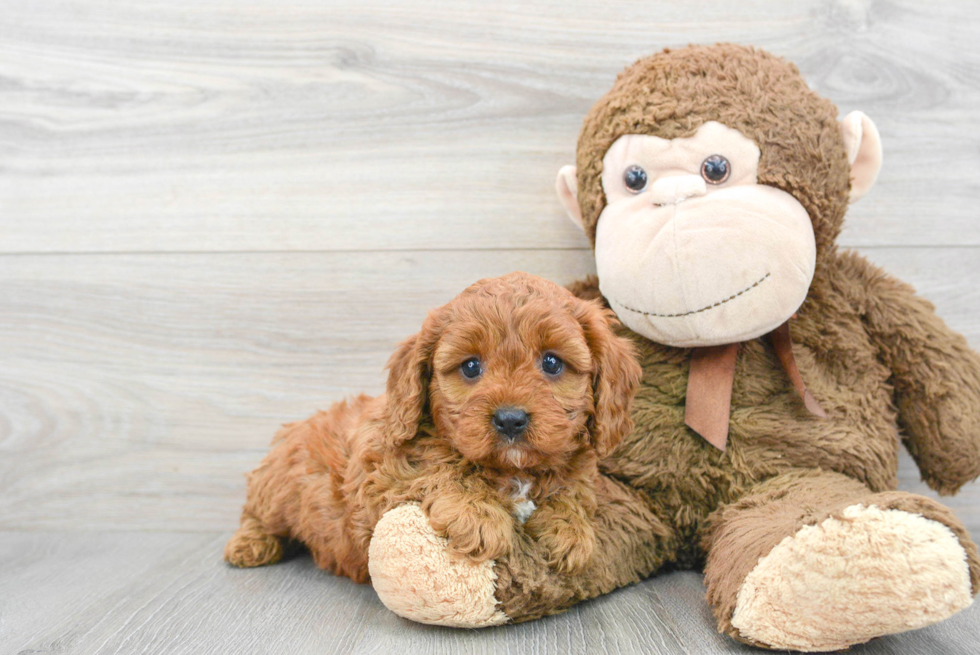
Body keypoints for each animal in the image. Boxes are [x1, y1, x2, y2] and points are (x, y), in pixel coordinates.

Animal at [226, 272, 648, 584]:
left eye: (552, 363)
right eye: (471, 367)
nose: (510, 419)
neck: (513, 471)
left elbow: (573, 492)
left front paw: (569, 531)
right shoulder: (377, 475)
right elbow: (436, 469)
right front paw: (479, 515)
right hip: (278, 487)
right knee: (254, 512)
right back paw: (249, 545)